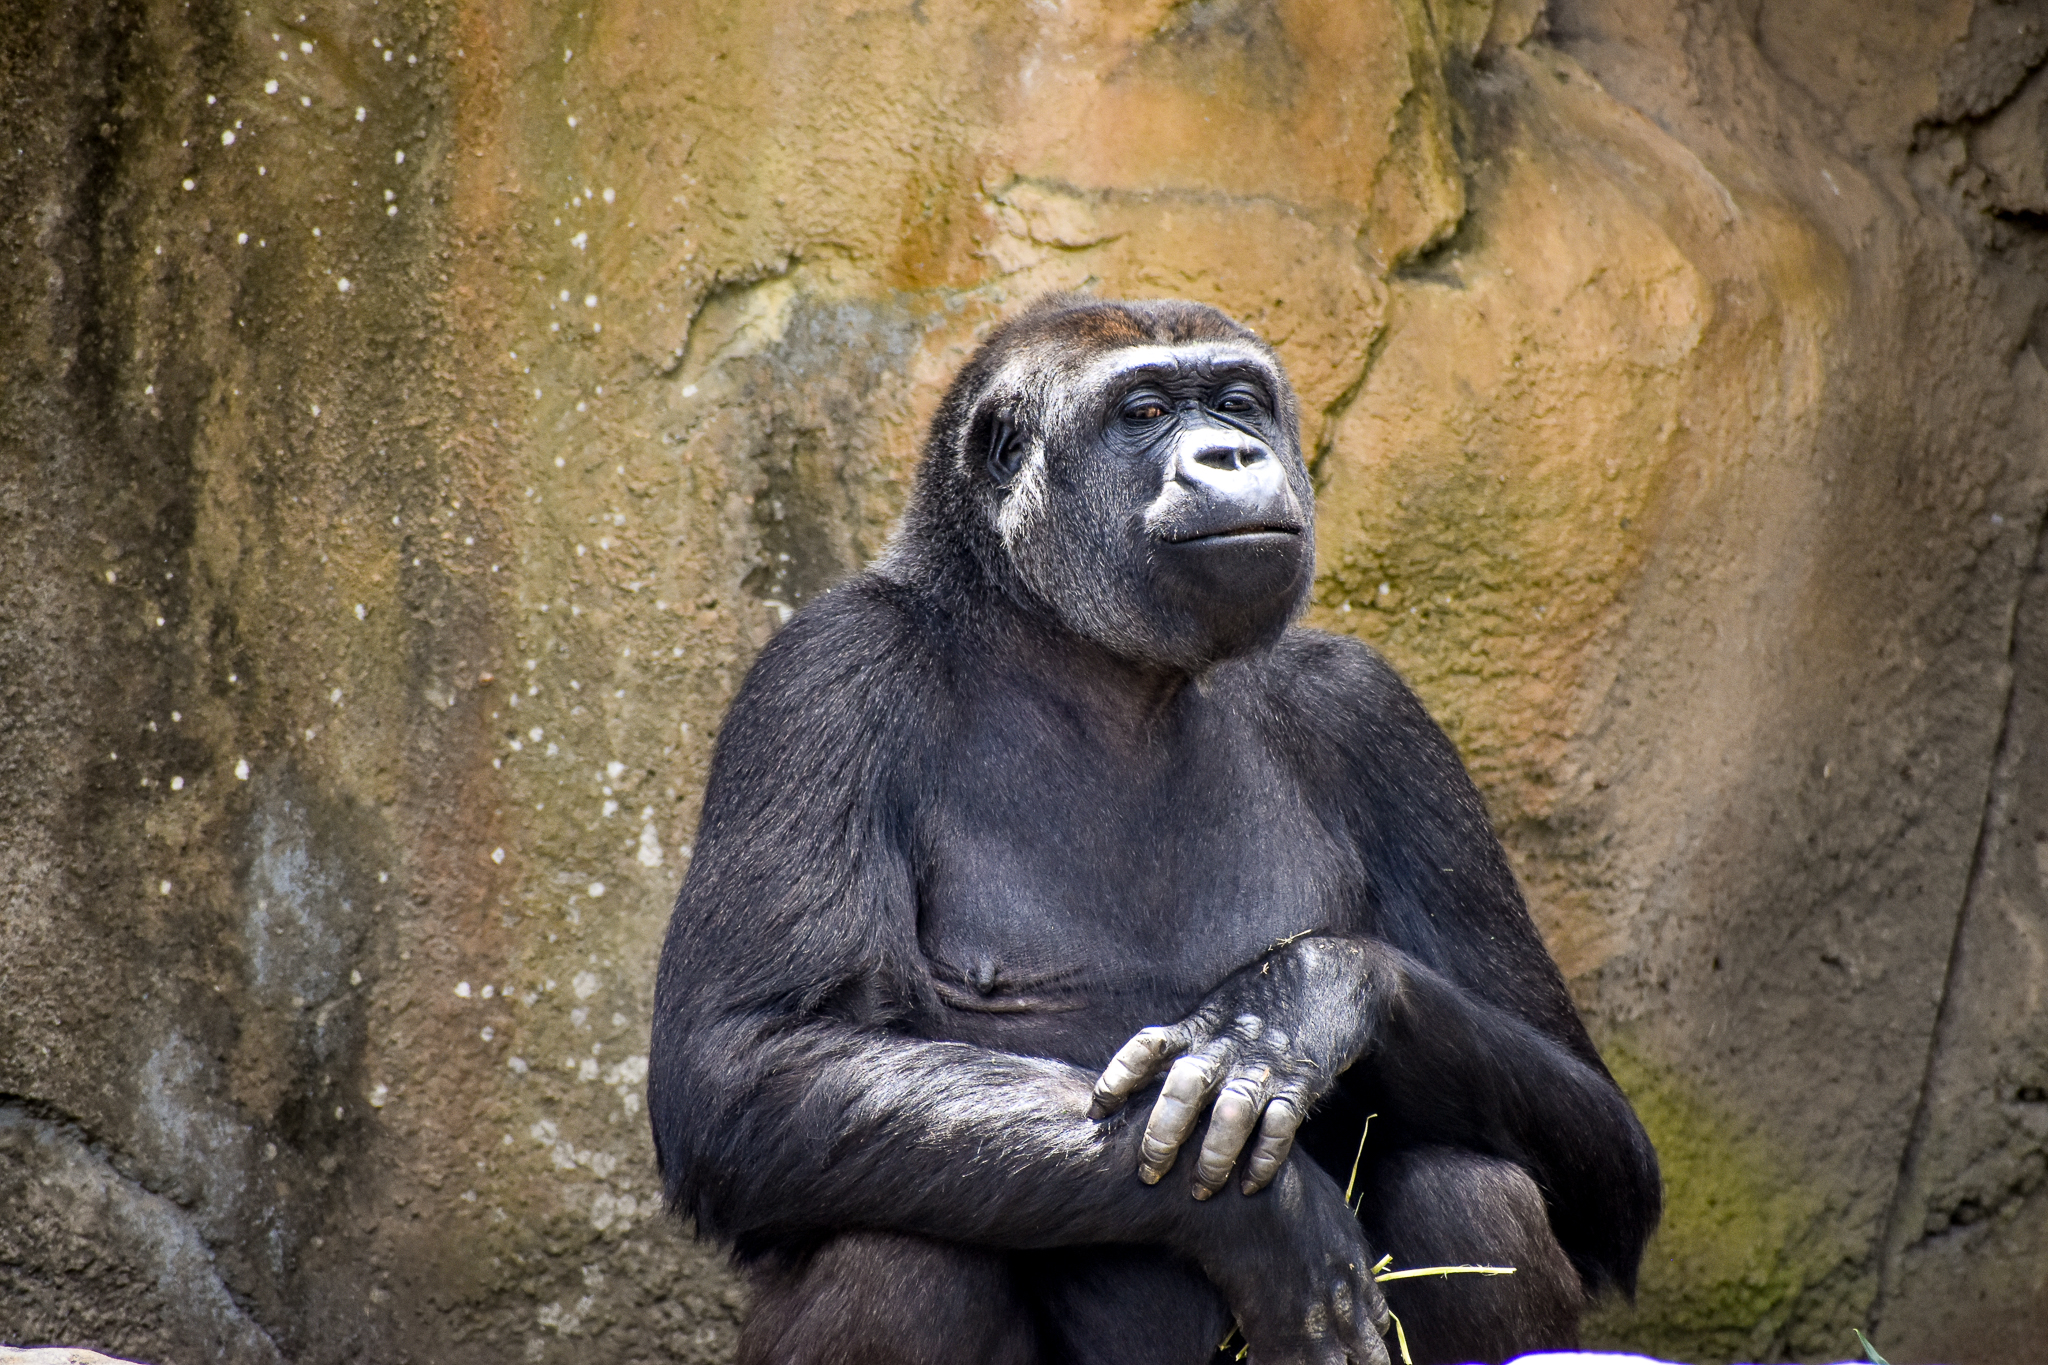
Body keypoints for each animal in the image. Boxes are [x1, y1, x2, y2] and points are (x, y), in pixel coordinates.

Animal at [648, 294, 1659, 1365]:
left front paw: (1303, 1000)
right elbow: (746, 1063)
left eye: (1237, 402)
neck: (1076, 651)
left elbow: (1605, 1144)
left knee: (1473, 1190)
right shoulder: (825, 675)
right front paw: (1272, 1221)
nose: (1230, 453)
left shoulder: (1374, 712)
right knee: (894, 1247)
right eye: (1143, 413)